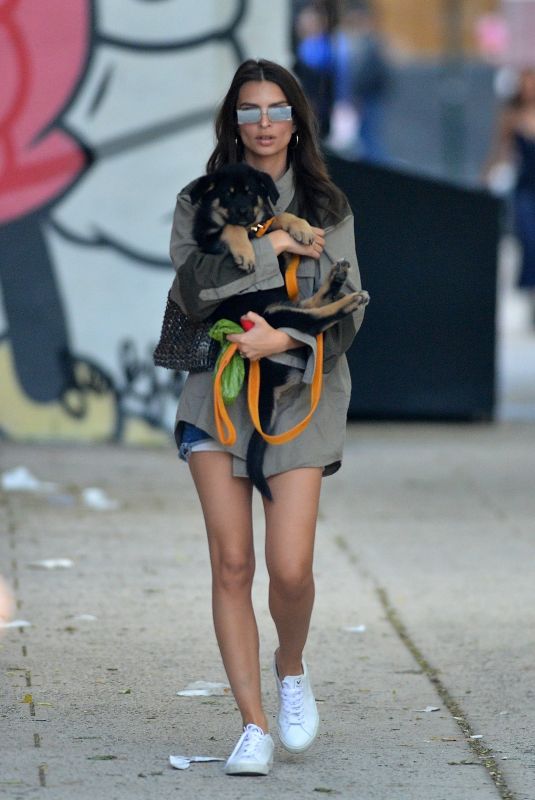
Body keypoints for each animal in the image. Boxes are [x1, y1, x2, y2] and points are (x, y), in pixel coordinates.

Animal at [188, 162, 368, 500]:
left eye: (251, 193)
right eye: (227, 194)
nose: (244, 212)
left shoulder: (270, 238)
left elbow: (277, 220)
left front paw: (302, 228)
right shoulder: (210, 241)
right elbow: (230, 230)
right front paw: (245, 252)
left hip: (282, 301)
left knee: (311, 303)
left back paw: (336, 279)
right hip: (275, 313)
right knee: (313, 320)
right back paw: (349, 299)